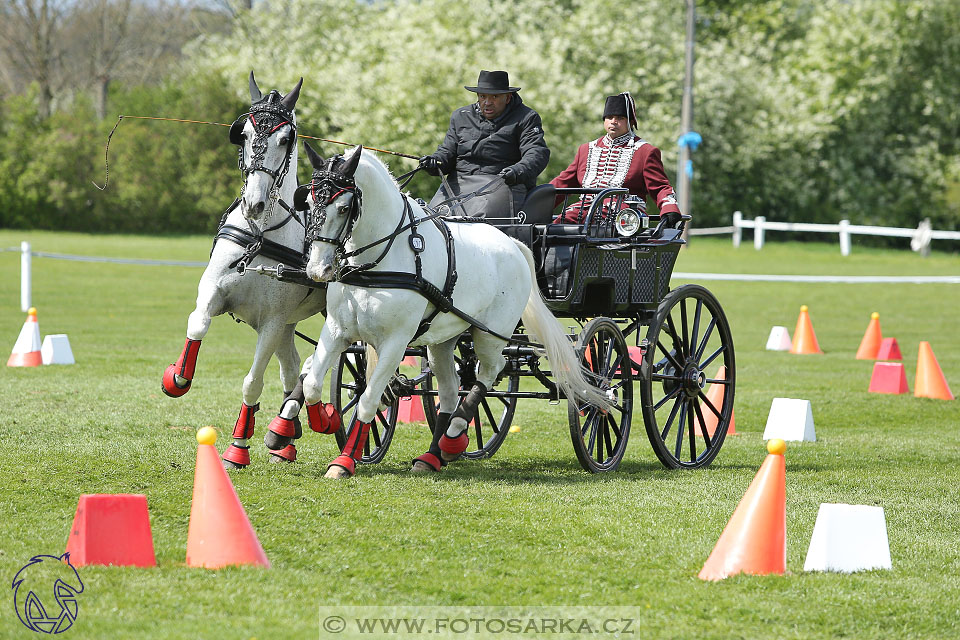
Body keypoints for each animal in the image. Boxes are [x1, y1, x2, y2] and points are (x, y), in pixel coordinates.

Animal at [161, 72, 330, 468]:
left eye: (285, 139)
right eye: (247, 134)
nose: (253, 203)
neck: (260, 235)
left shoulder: (271, 321)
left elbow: (253, 381)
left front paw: (238, 446)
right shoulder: (213, 291)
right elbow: (198, 323)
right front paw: (176, 378)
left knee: (313, 365)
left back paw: (294, 424)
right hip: (290, 323)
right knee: (293, 366)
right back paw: (287, 436)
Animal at [298, 142, 608, 478]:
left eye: (343, 207)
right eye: (310, 201)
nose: (318, 269)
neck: (378, 260)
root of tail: (512, 242)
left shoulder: (395, 342)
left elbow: (368, 399)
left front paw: (343, 461)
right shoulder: (337, 331)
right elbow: (312, 383)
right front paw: (326, 419)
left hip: (491, 336)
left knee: (491, 372)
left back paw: (454, 436)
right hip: (443, 340)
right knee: (451, 389)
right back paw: (433, 454)